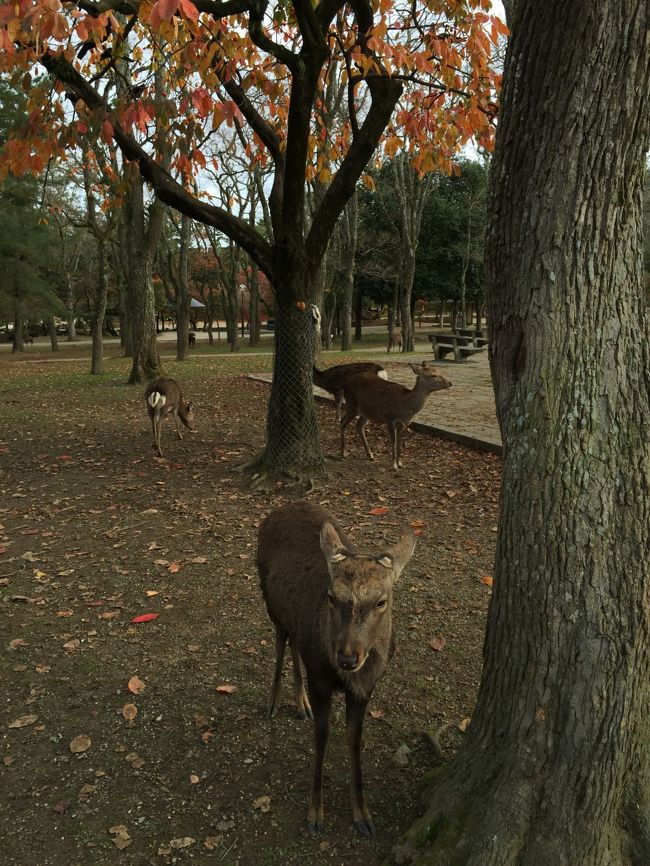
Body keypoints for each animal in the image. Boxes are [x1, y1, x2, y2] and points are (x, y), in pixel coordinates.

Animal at [257, 500, 416, 837]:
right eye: (332, 596)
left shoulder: (366, 687)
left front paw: (363, 814)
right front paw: (315, 813)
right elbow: (322, 735)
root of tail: (285, 505)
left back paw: (300, 702)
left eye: (381, 601)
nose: (347, 658)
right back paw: (275, 700)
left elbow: (354, 739)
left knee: (294, 642)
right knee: (280, 640)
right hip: (269, 599)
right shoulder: (321, 680)